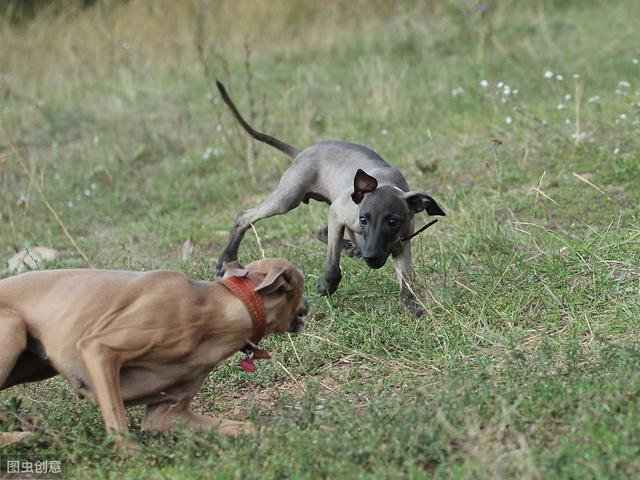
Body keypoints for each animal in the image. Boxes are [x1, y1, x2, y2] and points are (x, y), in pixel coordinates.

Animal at [0, 258, 308, 438]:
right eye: (300, 286)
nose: (309, 304)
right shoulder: (98, 349)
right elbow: (120, 427)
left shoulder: (167, 414)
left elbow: (246, 427)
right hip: (13, 331)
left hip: (30, 365)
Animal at [215, 80, 444, 314]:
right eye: (364, 219)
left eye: (392, 221)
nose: (370, 257)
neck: (388, 183)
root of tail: (300, 153)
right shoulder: (339, 214)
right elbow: (332, 264)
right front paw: (326, 286)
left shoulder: (402, 244)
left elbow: (407, 280)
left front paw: (411, 305)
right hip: (287, 200)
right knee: (244, 216)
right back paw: (225, 259)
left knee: (321, 232)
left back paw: (351, 248)